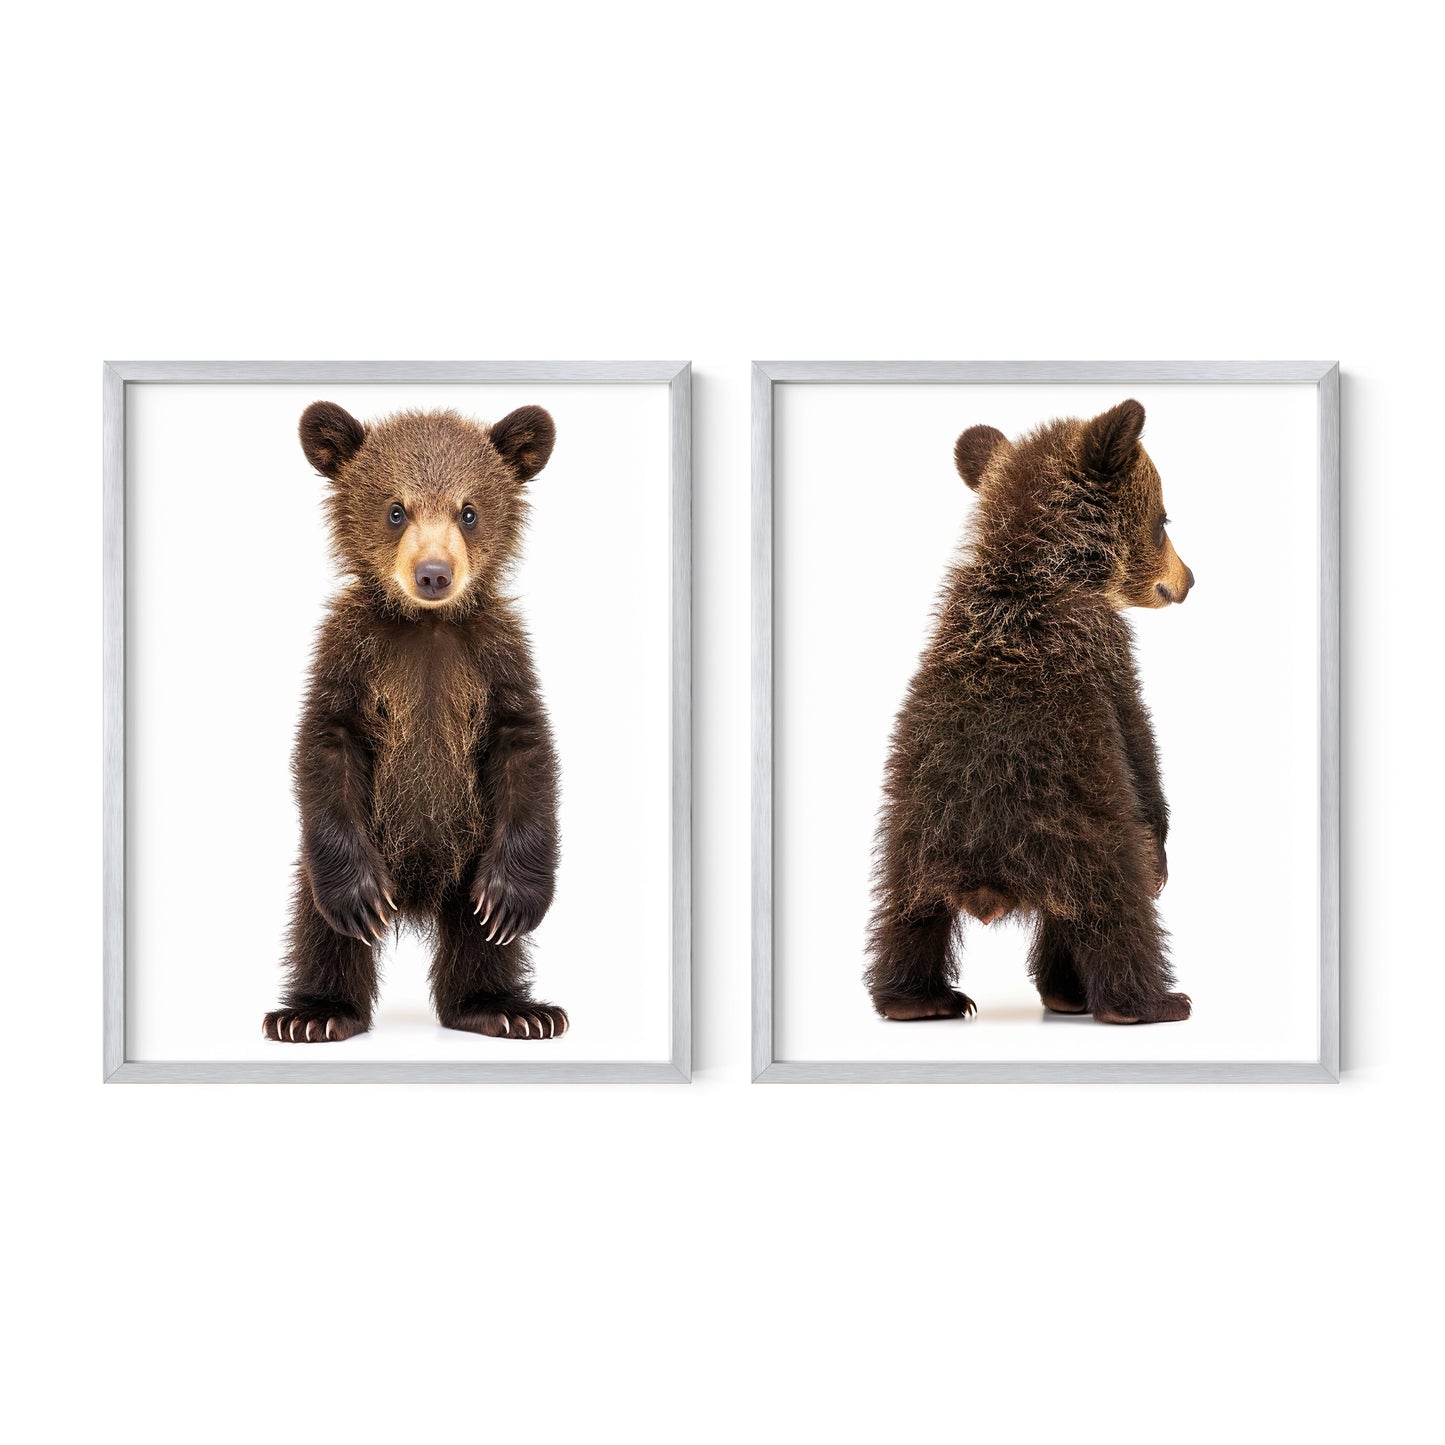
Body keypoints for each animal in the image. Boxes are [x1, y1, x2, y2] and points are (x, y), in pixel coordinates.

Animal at [263, 400, 567, 1043]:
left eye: (469, 511)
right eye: (395, 510)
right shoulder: (350, 655)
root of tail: (419, 898)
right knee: (318, 925)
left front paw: (515, 899)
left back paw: (508, 1008)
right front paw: (355, 901)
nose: (433, 573)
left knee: (480, 938)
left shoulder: (498, 659)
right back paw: (316, 1013)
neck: (427, 624)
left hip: (472, 849)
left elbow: (526, 750)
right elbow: (324, 745)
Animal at [864, 399, 1195, 1025]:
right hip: (1079, 829)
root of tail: (986, 871)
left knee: (909, 918)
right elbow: (1138, 737)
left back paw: (923, 999)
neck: (1031, 565)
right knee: (1117, 911)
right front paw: (1165, 848)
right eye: (1165, 520)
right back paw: (1152, 1001)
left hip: (913, 837)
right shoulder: (1101, 645)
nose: (1189, 580)